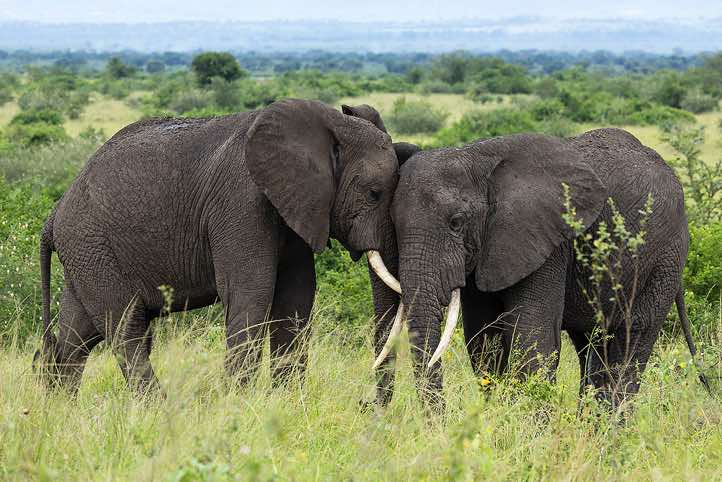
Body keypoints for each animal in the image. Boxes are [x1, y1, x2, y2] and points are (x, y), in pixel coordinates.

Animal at [35, 99, 405, 394]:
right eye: (374, 194)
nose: (365, 402)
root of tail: (54, 215)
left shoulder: (297, 206)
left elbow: (296, 297)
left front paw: (285, 404)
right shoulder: (241, 201)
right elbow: (251, 292)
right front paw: (237, 404)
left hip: (87, 252)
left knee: (77, 336)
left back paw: (59, 408)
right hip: (92, 245)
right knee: (126, 329)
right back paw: (157, 410)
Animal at [374, 128, 704, 410]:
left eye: (456, 223)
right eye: (393, 224)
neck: (479, 158)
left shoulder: (547, 241)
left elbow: (532, 339)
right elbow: (484, 341)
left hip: (663, 258)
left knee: (630, 342)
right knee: (592, 346)